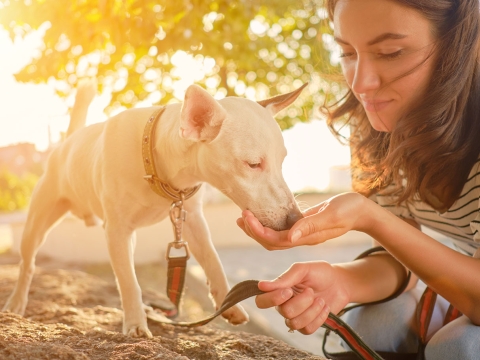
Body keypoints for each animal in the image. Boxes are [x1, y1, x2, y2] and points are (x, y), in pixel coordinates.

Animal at [2, 81, 304, 338]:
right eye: (253, 164)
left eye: (282, 161)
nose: (295, 219)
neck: (156, 160)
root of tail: (67, 143)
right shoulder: (116, 230)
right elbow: (128, 282)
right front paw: (136, 323)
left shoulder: (191, 219)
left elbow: (213, 261)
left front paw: (229, 304)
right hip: (38, 221)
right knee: (27, 264)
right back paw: (16, 302)